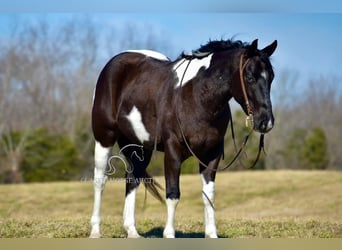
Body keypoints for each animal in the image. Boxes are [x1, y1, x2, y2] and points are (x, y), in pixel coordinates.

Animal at [89, 38, 276, 238]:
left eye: (271, 77)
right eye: (250, 77)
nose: (266, 122)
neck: (197, 96)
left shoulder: (212, 155)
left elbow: (208, 195)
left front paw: (211, 234)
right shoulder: (173, 151)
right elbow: (173, 194)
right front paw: (169, 234)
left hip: (139, 147)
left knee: (132, 179)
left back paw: (132, 231)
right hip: (104, 138)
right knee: (100, 181)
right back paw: (95, 230)